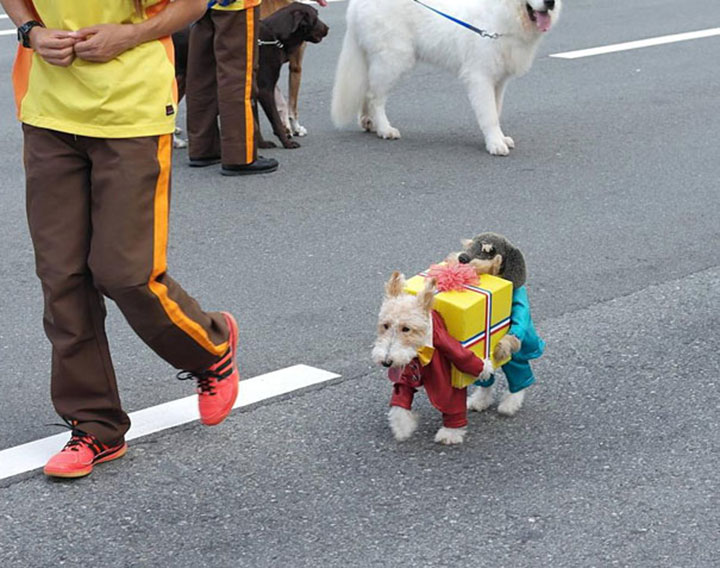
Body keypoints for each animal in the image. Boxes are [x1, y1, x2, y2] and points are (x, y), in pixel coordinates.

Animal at [332, 0, 564, 155]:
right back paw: (385, 129)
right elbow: (489, 116)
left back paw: (369, 123)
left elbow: (495, 112)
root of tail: (356, 4)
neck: (503, 16)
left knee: (367, 92)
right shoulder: (480, 78)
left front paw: (500, 139)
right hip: (395, 60)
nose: (550, 2)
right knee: (375, 97)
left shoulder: (499, 82)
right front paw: (495, 144)